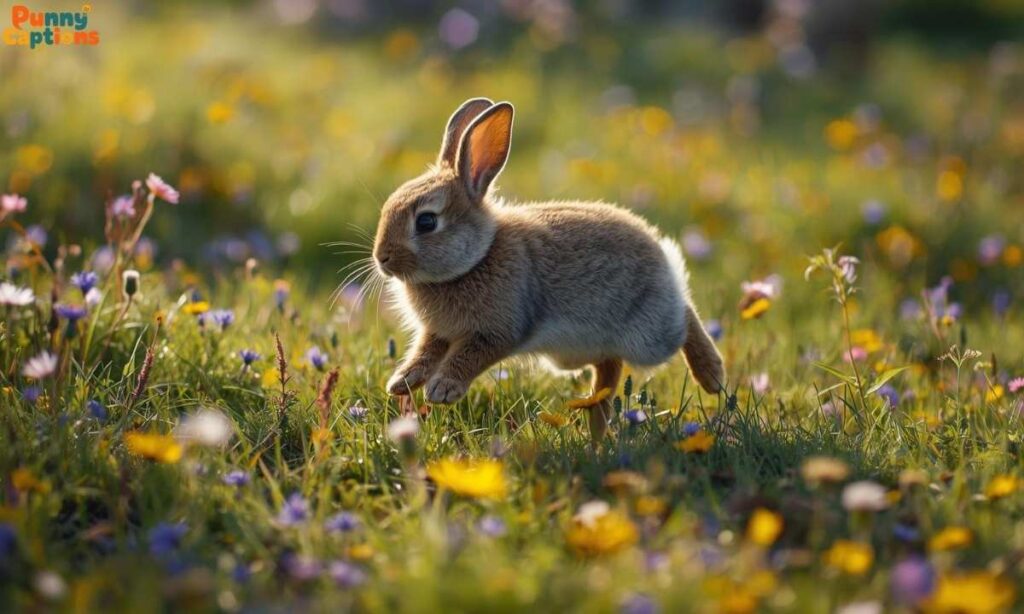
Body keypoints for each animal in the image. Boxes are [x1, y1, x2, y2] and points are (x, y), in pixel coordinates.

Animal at [372, 97, 725, 440]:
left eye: (426, 222)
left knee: (684, 318)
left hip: (649, 336)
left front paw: (443, 389)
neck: (477, 257)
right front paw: (401, 382)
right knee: (609, 371)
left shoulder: (498, 330)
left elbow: (469, 356)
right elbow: (424, 352)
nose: (382, 258)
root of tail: (658, 251)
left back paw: (712, 376)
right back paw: (597, 435)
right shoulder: (437, 333)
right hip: (577, 352)